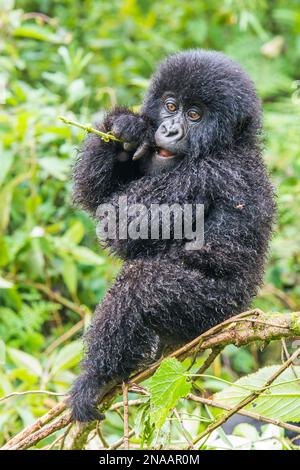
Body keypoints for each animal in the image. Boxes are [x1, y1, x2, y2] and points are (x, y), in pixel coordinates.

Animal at [69, 49, 276, 420]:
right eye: (170, 105)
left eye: (194, 115)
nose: (169, 128)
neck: (229, 145)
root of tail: (241, 311)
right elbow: (96, 196)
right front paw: (126, 127)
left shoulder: (207, 174)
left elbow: (121, 222)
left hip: (211, 313)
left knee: (140, 286)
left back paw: (97, 378)